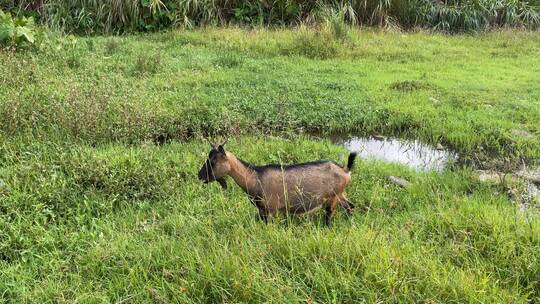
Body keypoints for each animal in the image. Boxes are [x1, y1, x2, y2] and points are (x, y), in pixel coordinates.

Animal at [196, 142, 356, 226]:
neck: (254, 177)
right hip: (340, 194)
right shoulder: (261, 210)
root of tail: (345, 170)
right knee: (350, 206)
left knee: (329, 215)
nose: (200, 175)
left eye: (213, 161)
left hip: (333, 197)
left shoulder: (271, 210)